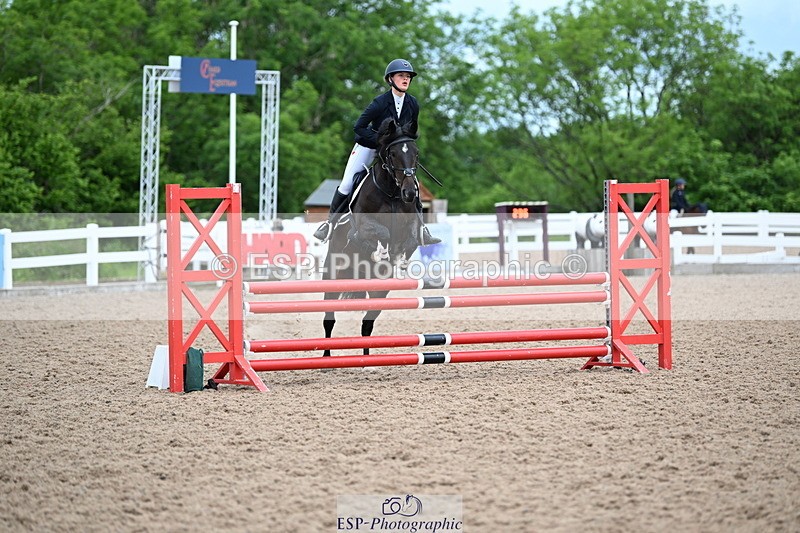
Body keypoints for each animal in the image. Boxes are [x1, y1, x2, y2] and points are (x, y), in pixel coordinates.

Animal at [320, 118, 424, 356]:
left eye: (416, 153)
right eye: (393, 154)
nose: (409, 193)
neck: (392, 193)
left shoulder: (411, 224)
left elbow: (411, 239)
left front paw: (399, 260)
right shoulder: (364, 224)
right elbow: (380, 233)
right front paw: (380, 252)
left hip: (379, 290)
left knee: (368, 322)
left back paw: (366, 359)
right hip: (332, 276)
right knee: (329, 318)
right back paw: (326, 357)